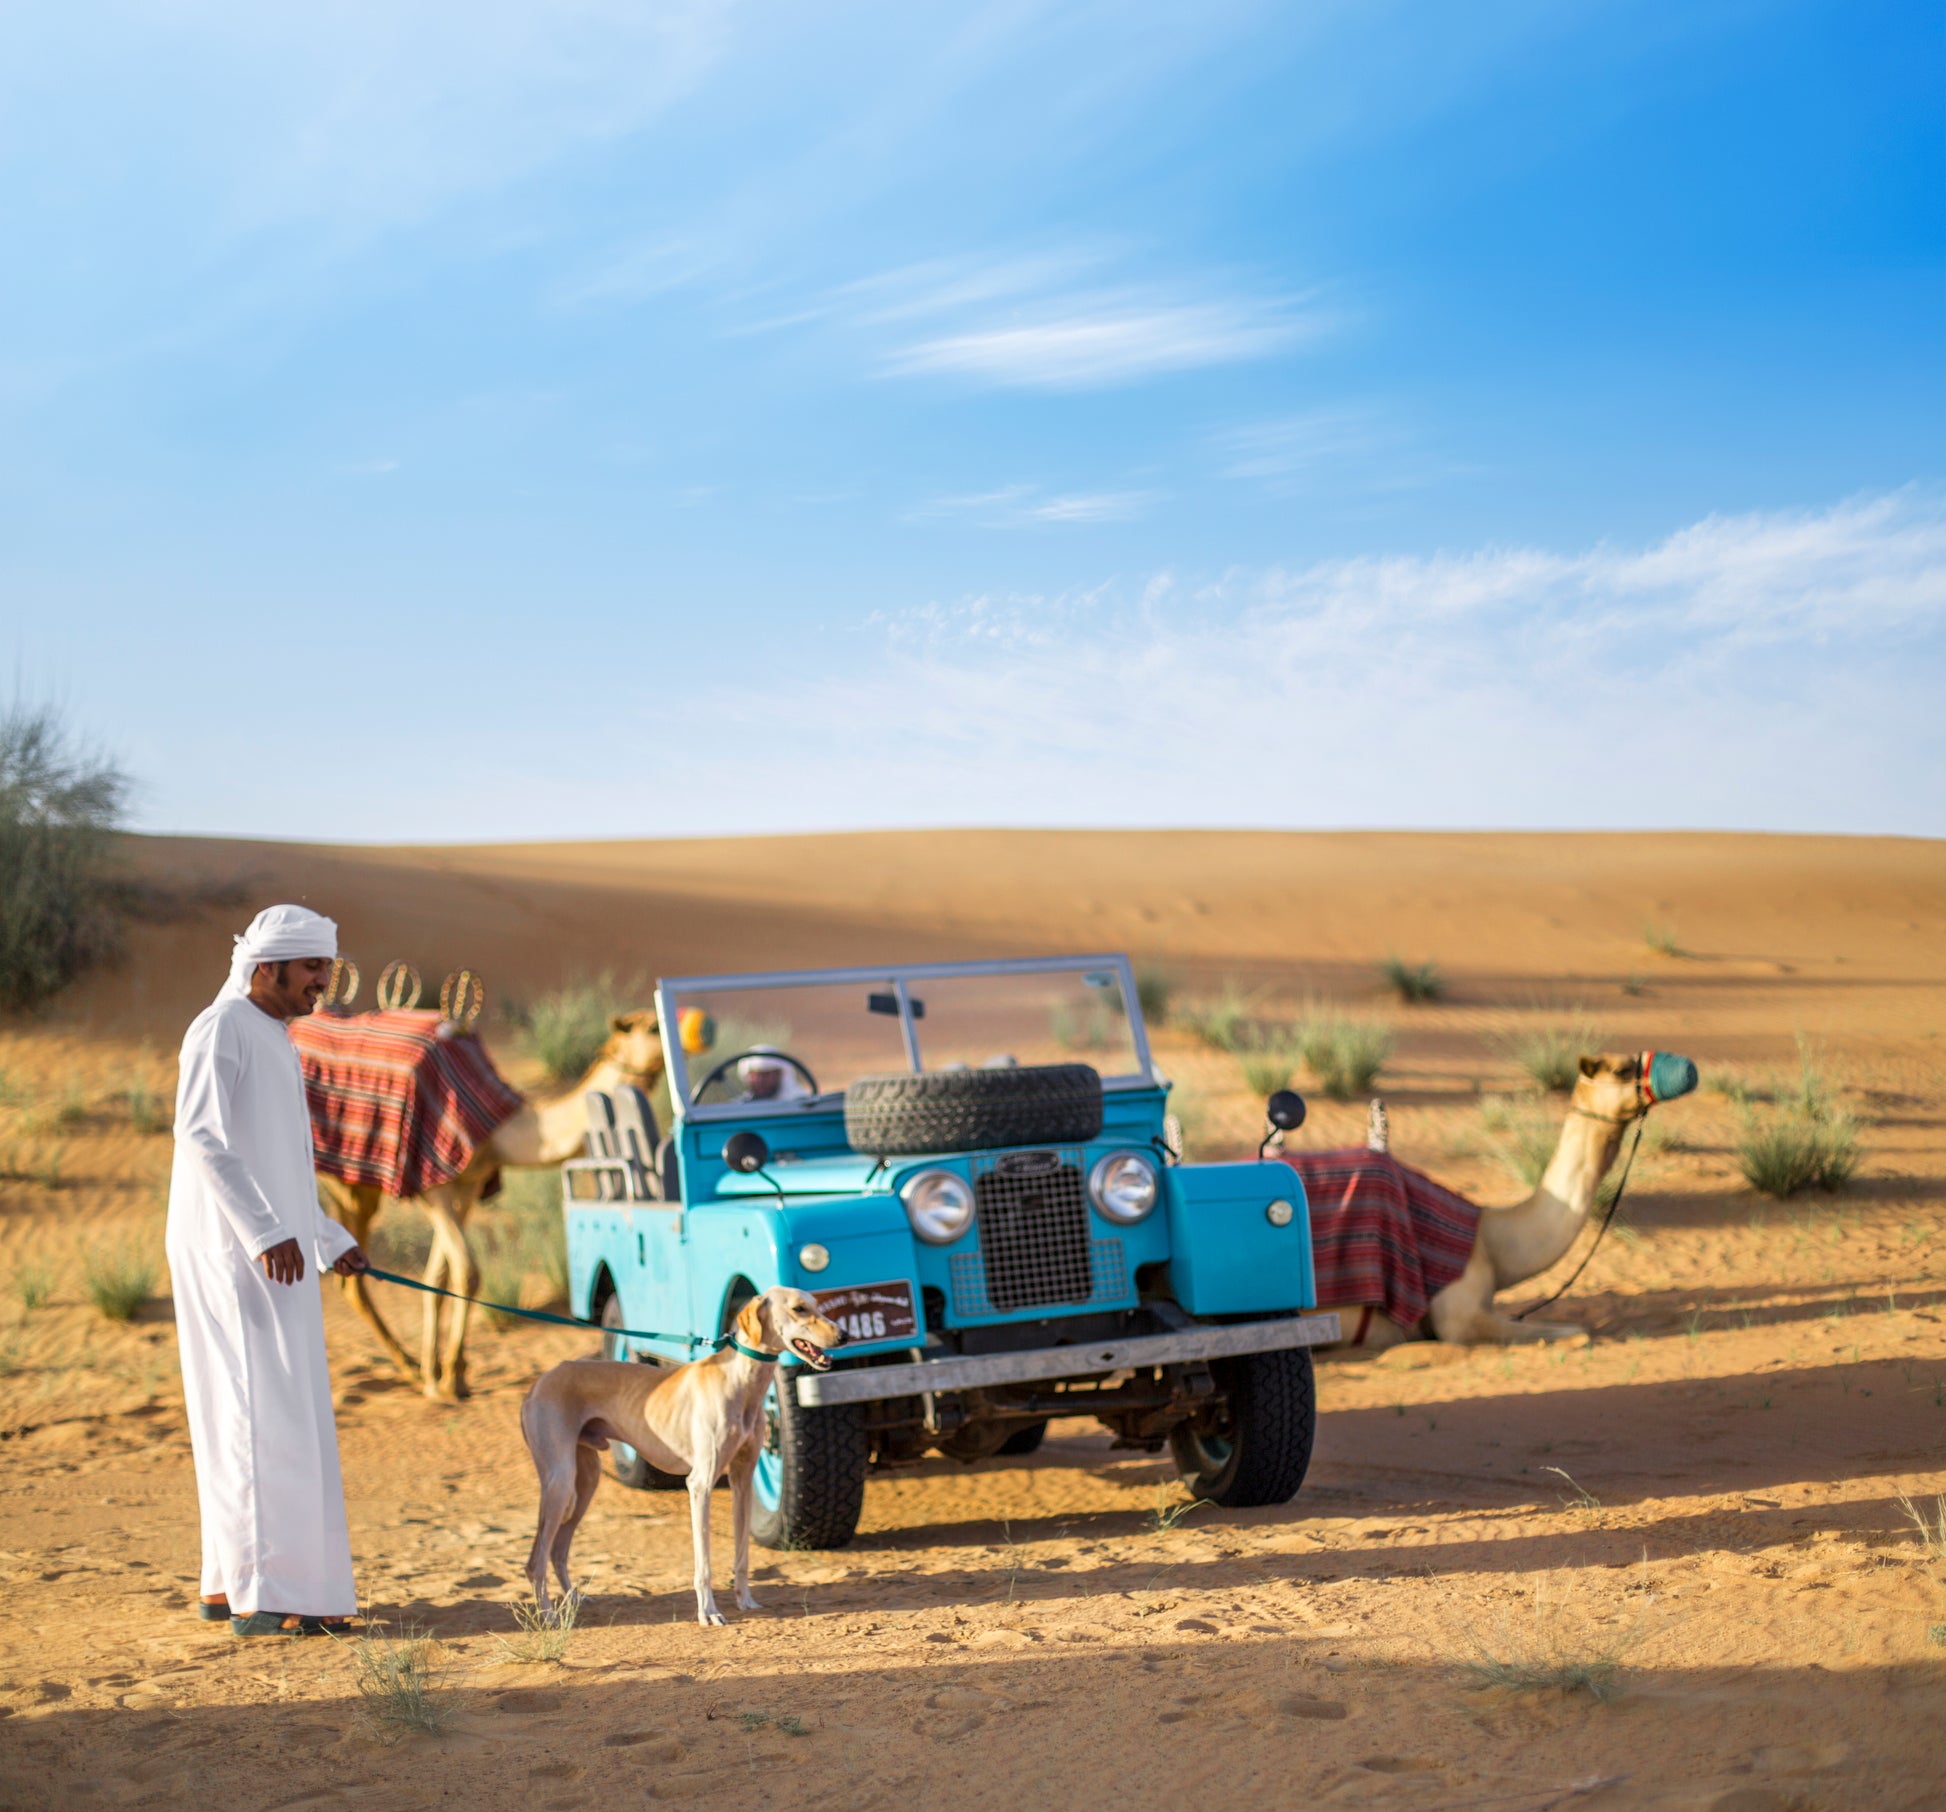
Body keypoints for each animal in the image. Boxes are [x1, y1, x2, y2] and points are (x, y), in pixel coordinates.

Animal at [313, 1004, 661, 1401]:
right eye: (653, 1027)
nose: (698, 1029)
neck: (498, 1131)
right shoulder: (433, 1186)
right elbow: (468, 1272)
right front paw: (447, 1379)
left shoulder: (467, 1187)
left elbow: (440, 1277)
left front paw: (445, 1373)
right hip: (341, 1180)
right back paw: (405, 1367)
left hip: (358, 1186)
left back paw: (413, 1367)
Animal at [521, 1292, 840, 1627]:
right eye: (799, 1308)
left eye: (817, 1304)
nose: (843, 1335)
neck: (738, 1380)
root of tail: (537, 1385)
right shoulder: (699, 1484)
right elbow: (704, 1564)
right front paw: (708, 1612)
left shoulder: (742, 1479)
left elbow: (742, 1553)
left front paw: (745, 1601)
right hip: (560, 1480)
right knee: (536, 1560)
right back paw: (548, 1615)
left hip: (586, 1481)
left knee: (557, 1550)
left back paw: (573, 1600)